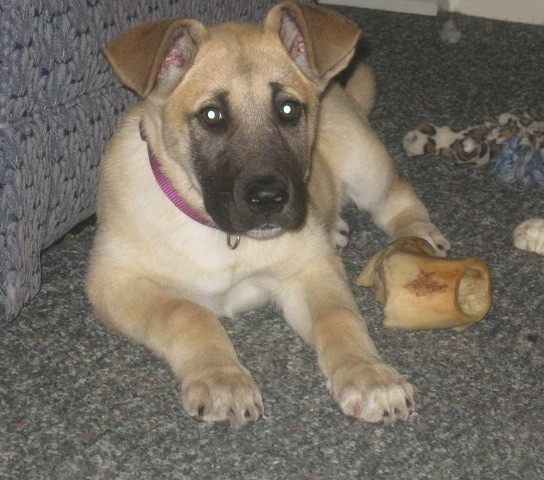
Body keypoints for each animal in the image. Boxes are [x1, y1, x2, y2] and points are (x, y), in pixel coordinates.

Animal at [86, 0, 450, 428]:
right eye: (211, 116)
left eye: (288, 109)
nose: (268, 199)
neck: (219, 234)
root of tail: (338, 90)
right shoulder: (113, 281)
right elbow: (186, 311)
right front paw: (222, 380)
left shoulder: (311, 270)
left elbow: (339, 318)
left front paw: (368, 375)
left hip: (365, 163)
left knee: (396, 195)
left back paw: (418, 232)